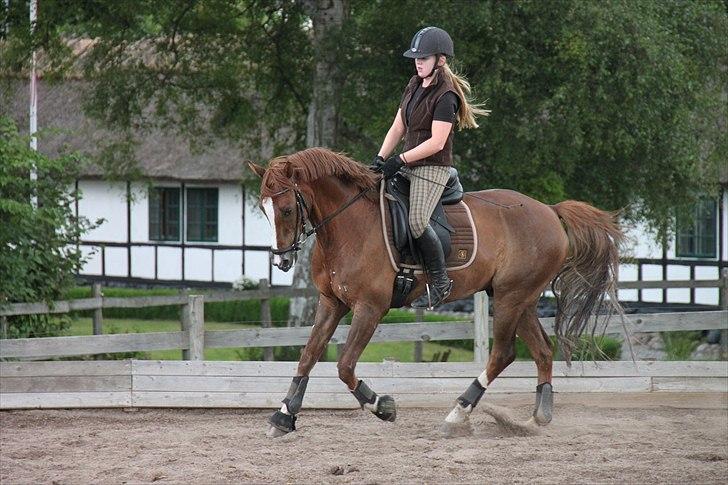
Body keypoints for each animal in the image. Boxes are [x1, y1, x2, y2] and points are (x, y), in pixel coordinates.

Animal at [247, 147, 624, 434]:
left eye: (286, 209)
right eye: (263, 210)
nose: (281, 261)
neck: (348, 226)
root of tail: (549, 210)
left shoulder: (370, 308)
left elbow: (344, 365)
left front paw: (382, 406)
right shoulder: (331, 302)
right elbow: (309, 355)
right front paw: (284, 415)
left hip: (510, 298)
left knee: (503, 354)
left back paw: (458, 412)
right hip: (520, 299)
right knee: (543, 351)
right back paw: (538, 416)